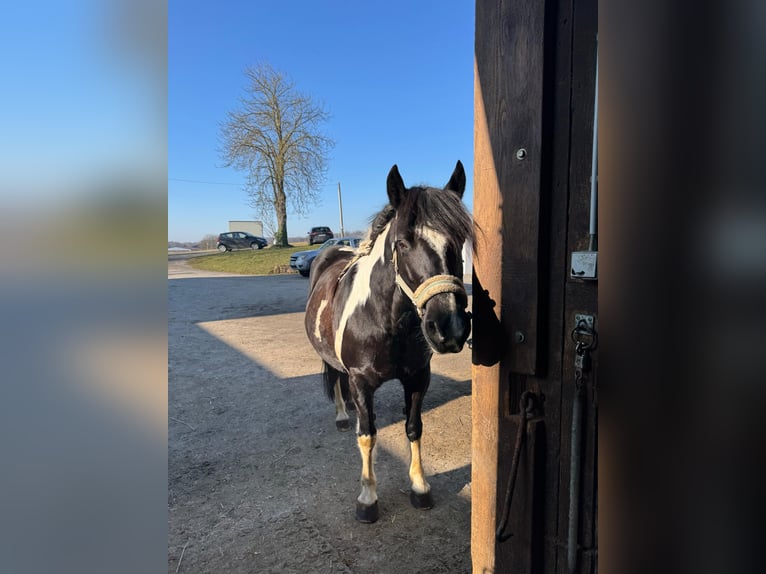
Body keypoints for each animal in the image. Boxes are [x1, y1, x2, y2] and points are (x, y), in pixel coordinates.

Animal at [304, 160, 474, 524]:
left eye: (459, 239)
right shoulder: (361, 382)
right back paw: (343, 415)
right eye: (402, 243)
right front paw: (367, 498)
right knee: (336, 379)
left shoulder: (418, 378)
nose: (450, 327)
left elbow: (414, 427)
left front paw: (420, 487)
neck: (385, 322)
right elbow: (368, 435)